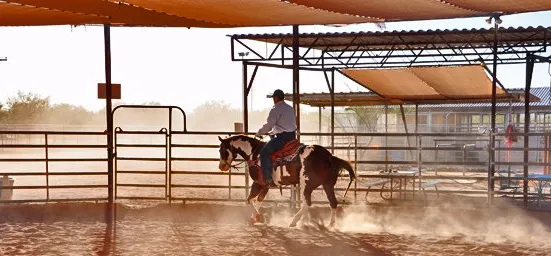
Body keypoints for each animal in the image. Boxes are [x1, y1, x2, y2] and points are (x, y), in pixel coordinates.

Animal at [218, 135, 356, 227]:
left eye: (221, 150)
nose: (221, 166)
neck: (254, 153)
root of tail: (330, 156)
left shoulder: (258, 183)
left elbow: (249, 200)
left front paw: (258, 218)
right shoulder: (266, 186)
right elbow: (258, 202)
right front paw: (254, 219)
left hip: (307, 185)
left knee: (307, 203)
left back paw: (294, 222)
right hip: (328, 185)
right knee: (333, 203)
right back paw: (330, 225)